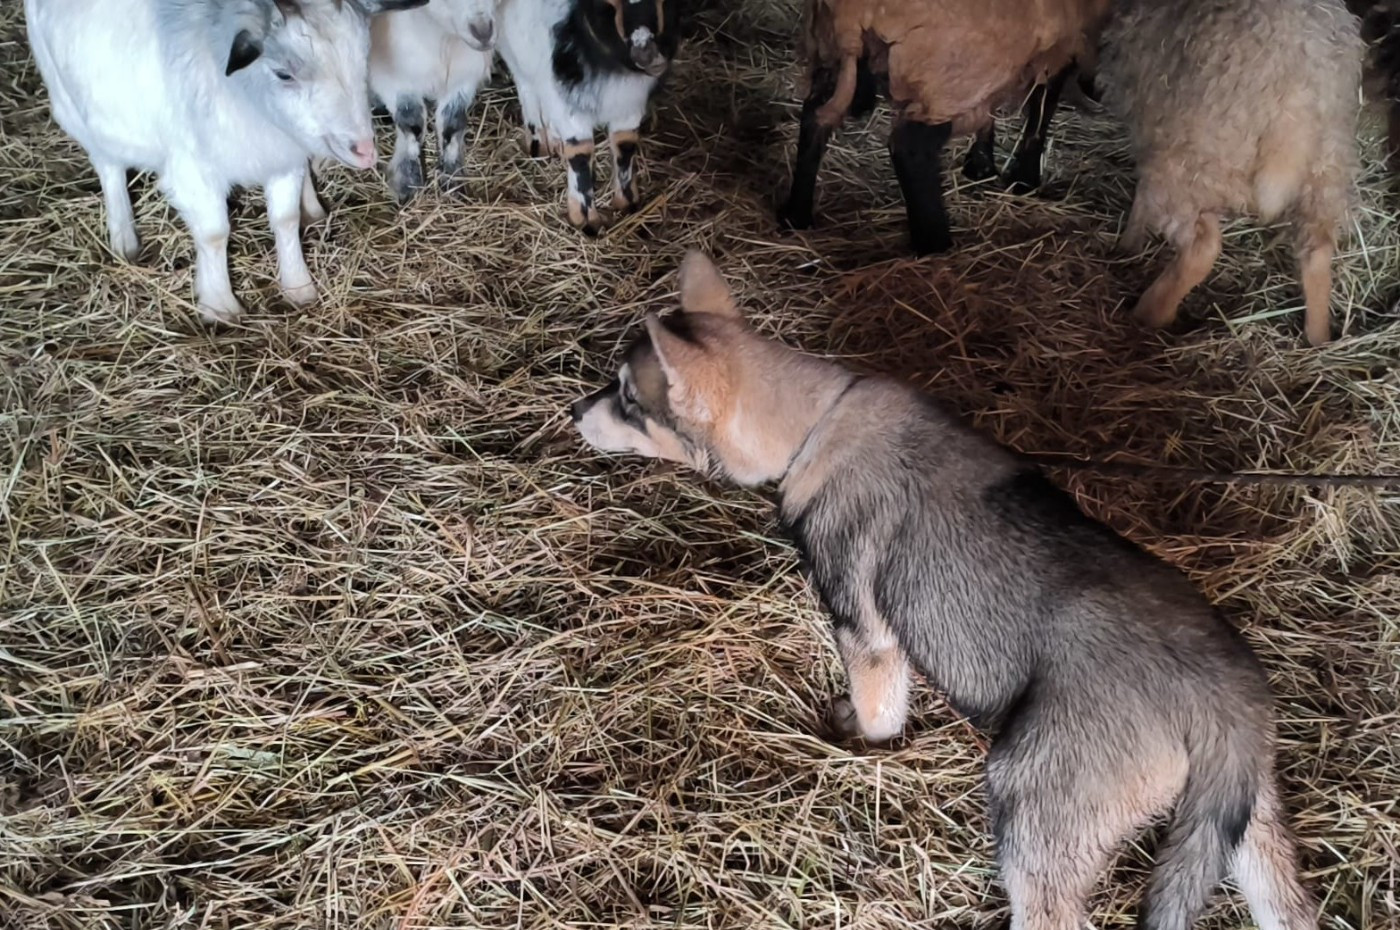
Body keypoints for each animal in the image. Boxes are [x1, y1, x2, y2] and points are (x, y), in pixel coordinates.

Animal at [24, 0, 427, 325]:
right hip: (75, 106)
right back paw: (124, 238)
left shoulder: (281, 154)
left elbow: (285, 220)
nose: (365, 150)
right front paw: (219, 306)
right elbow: (215, 234)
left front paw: (299, 287)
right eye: (283, 73)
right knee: (108, 166)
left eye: (363, 56)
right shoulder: (194, 170)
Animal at [369, 0, 501, 203]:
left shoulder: (463, 79)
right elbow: (411, 124)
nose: (483, 32)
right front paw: (407, 181)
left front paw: (453, 179)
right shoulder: (392, 77)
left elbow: (452, 125)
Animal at [497, 0, 680, 235]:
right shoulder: (570, 108)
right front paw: (585, 220)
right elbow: (580, 154)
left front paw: (628, 202)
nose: (647, 55)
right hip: (512, 50)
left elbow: (625, 144)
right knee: (526, 85)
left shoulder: (628, 104)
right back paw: (537, 142)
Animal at [777, 0, 1116, 255]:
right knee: (911, 148)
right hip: (944, 75)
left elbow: (995, 108)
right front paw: (1025, 178)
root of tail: (852, 10)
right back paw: (936, 244)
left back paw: (796, 215)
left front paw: (981, 164)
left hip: (830, 51)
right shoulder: (1068, 39)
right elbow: (1045, 101)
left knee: (815, 117)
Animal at [1101, 0, 1364, 346]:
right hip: (1328, 161)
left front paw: (1128, 245)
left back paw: (1149, 315)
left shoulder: (1153, 117)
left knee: (1202, 247)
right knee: (1317, 248)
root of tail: (1296, 89)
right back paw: (1318, 337)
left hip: (1193, 155)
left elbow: (1142, 197)